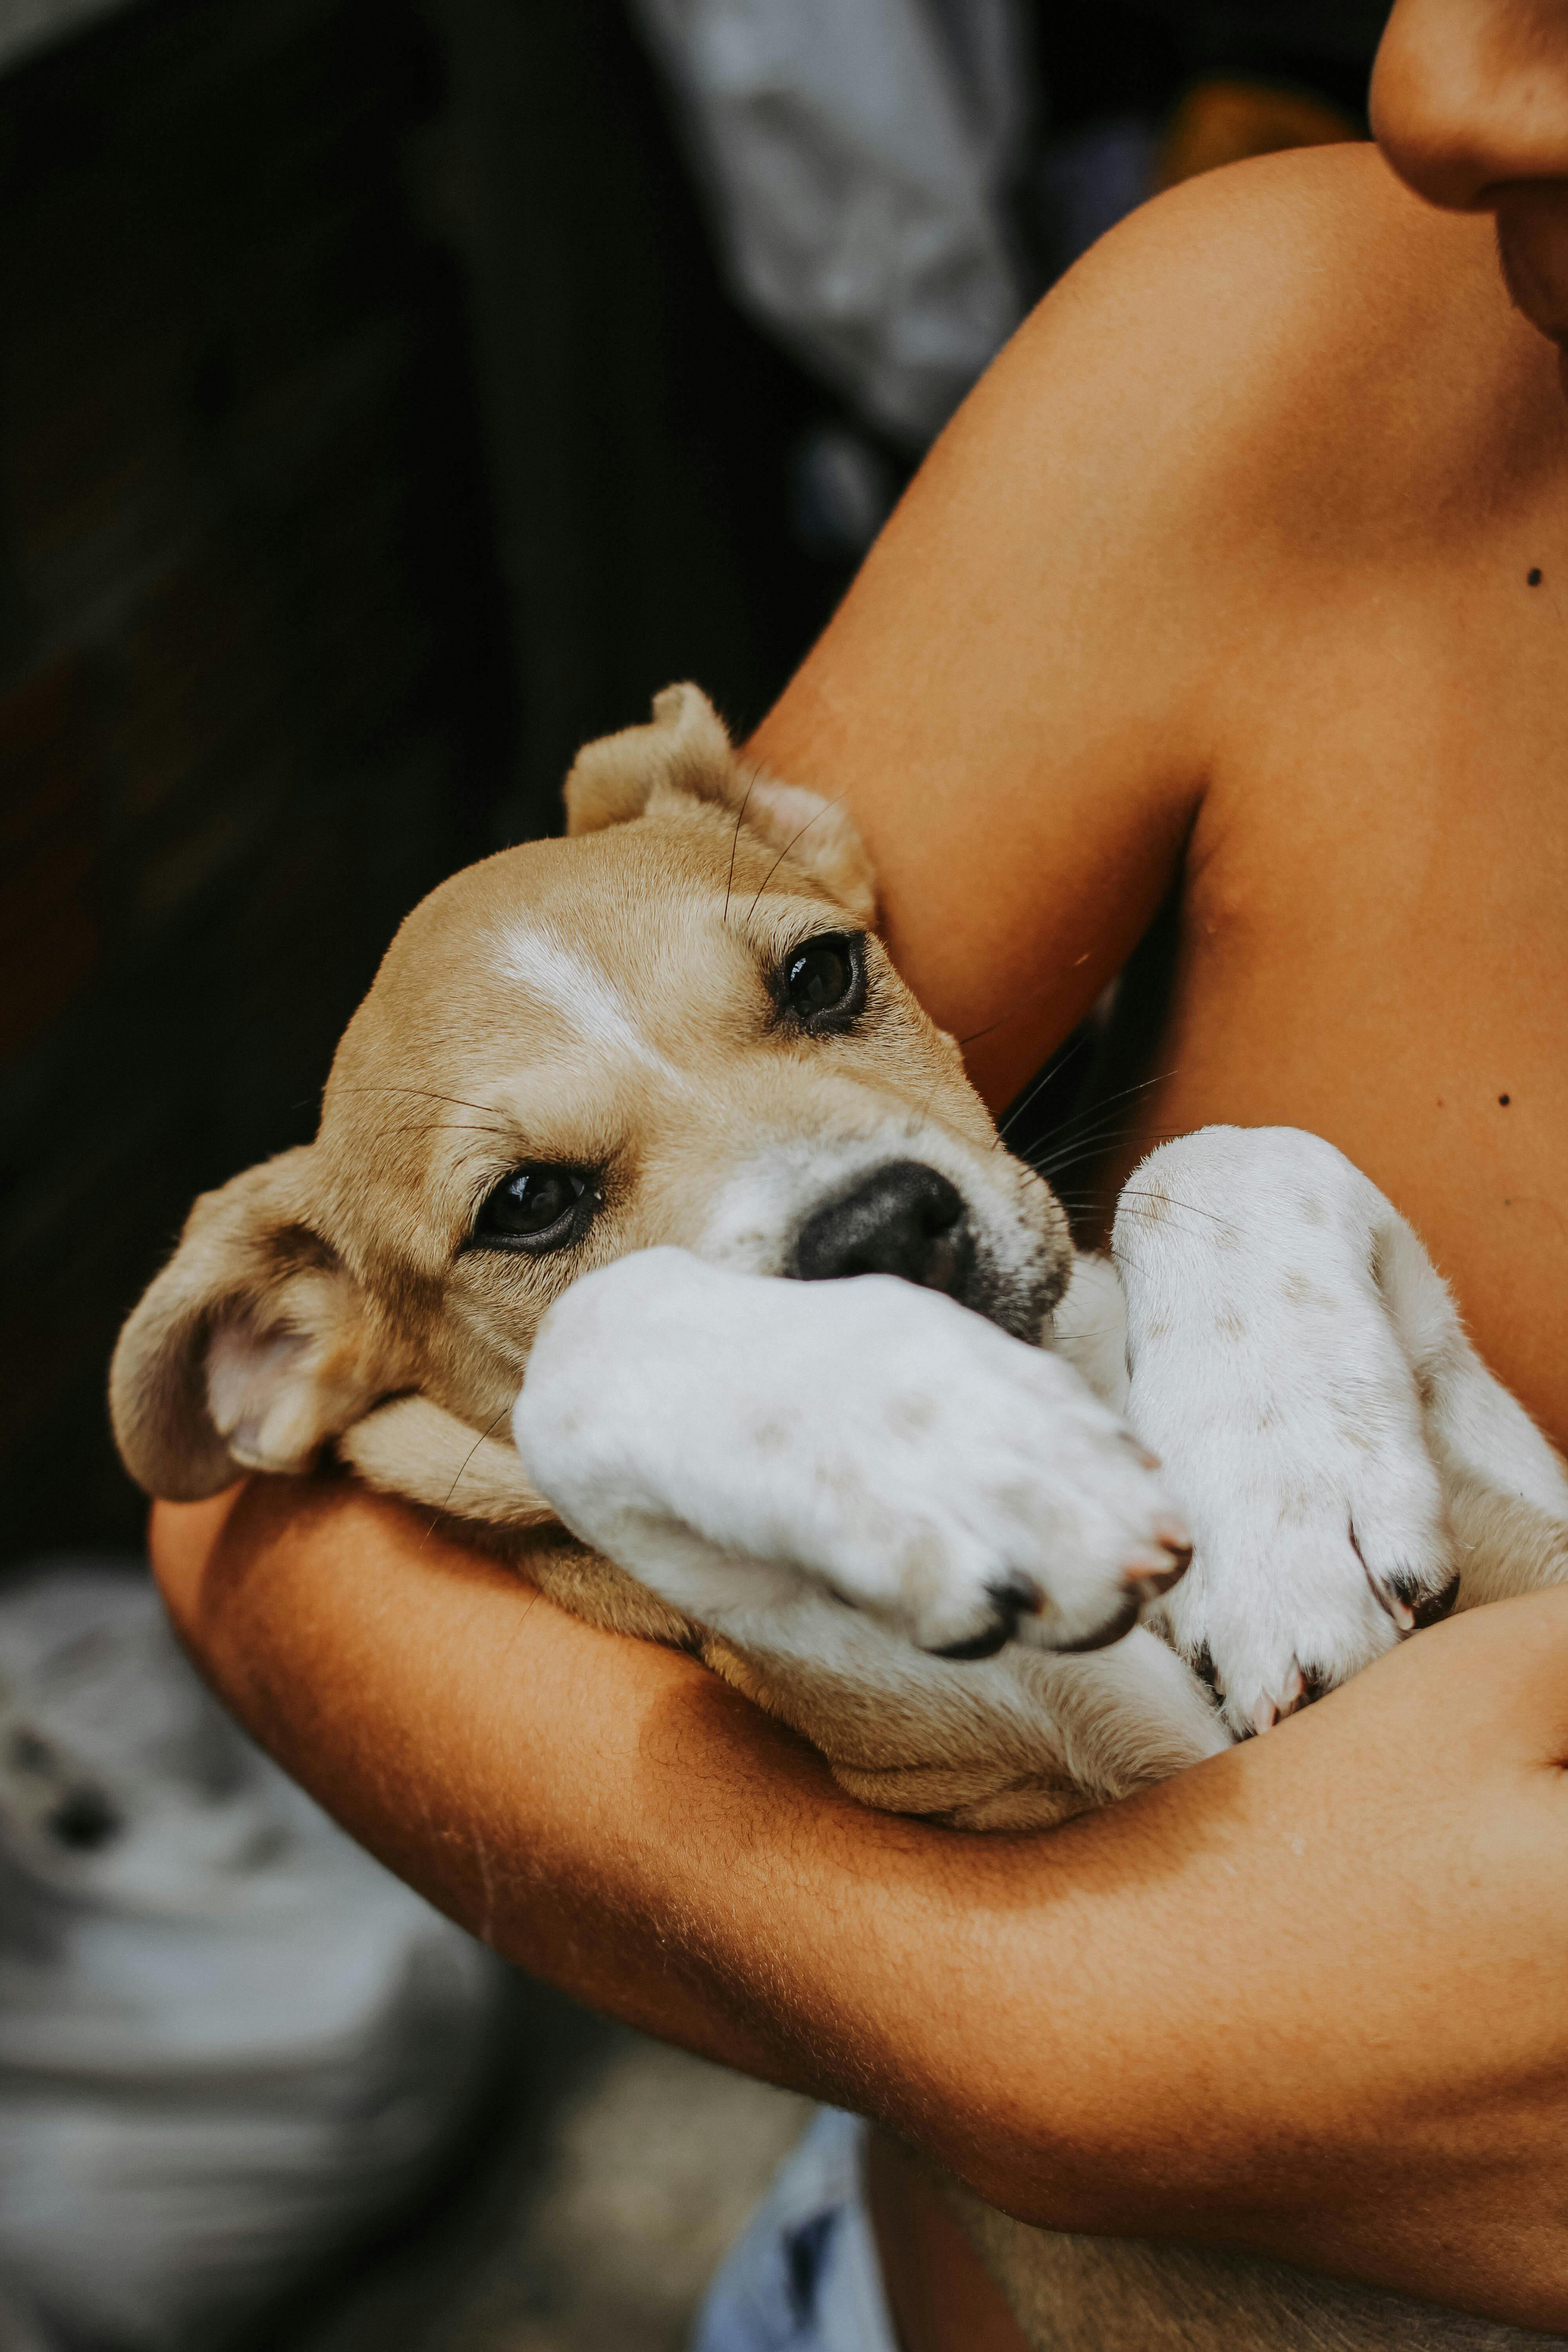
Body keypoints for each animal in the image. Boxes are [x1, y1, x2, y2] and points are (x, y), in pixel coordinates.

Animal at [110, 687, 1568, 2343]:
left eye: (819, 974)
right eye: (527, 1205)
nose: (883, 1230)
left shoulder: (1521, 1516)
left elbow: (1215, 1157)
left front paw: (1287, 1507)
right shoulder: (952, 1739)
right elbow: (601, 1371)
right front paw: (925, 1447)